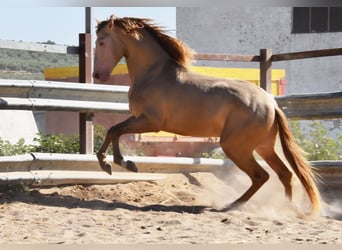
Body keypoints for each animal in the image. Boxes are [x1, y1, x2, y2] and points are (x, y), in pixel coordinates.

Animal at [92, 14, 320, 216]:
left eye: (101, 42)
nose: (97, 75)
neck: (154, 74)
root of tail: (271, 103)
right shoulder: (139, 118)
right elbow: (113, 130)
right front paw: (116, 164)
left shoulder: (151, 122)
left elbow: (116, 130)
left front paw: (116, 164)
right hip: (263, 147)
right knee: (285, 174)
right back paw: (289, 209)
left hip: (235, 147)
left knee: (261, 176)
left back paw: (231, 206)